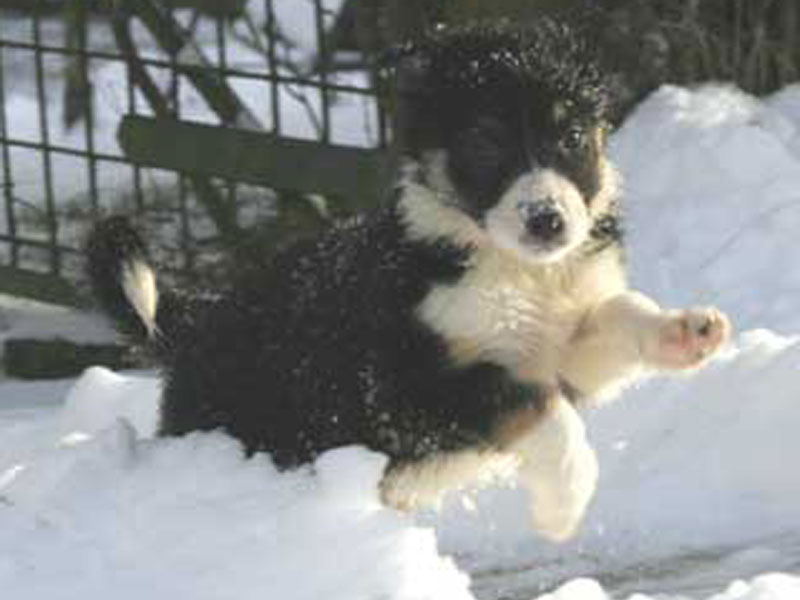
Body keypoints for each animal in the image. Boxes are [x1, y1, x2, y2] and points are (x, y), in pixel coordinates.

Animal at [87, 21, 732, 540]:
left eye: (572, 137)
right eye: (485, 142)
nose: (547, 221)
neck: (514, 266)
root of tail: (202, 315)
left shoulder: (564, 353)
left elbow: (620, 311)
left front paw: (686, 332)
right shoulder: (415, 387)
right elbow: (547, 416)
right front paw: (561, 513)